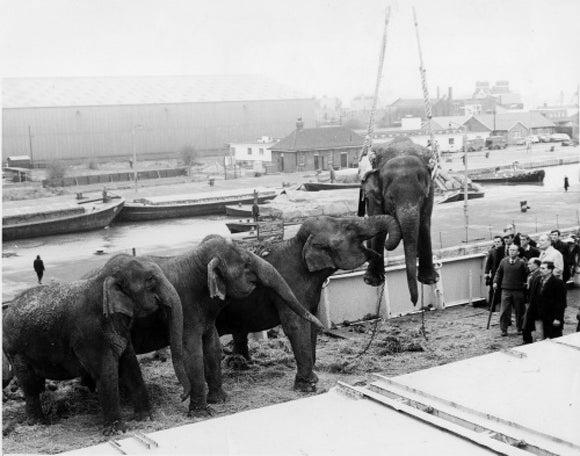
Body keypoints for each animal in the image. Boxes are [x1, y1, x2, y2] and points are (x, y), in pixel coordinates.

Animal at [122, 235, 326, 414]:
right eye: (246, 264)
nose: (322, 324)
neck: (195, 259)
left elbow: (212, 344)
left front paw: (219, 400)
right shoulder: (185, 309)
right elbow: (192, 351)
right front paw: (201, 413)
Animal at [215, 216, 402, 392]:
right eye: (349, 227)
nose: (385, 248)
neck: (299, 244)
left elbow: (312, 322)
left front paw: (312, 373)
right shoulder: (290, 284)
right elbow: (296, 325)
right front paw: (308, 386)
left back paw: (241, 363)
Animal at [360, 137, 438, 304]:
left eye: (421, 197)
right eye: (390, 199)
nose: (413, 302)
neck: (401, 153)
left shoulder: (431, 191)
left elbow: (424, 224)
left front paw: (430, 280)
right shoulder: (375, 196)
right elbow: (379, 224)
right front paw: (372, 281)